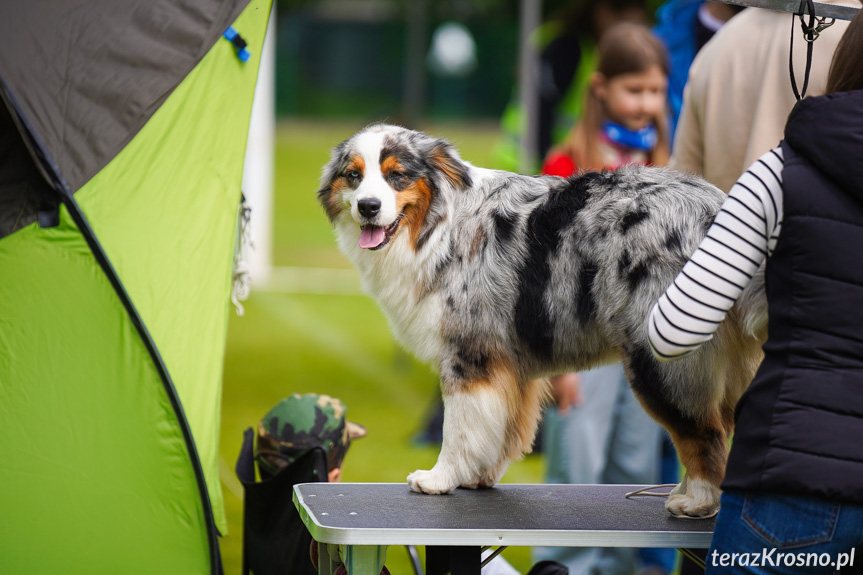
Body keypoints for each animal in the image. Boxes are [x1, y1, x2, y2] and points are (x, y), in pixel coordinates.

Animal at [320, 124, 768, 520]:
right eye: (354, 175)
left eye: (397, 175)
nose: (368, 207)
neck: (437, 227)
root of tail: (717, 210)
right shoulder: (508, 363)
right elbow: (500, 429)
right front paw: (479, 477)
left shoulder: (470, 355)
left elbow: (460, 430)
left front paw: (440, 479)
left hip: (662, 355)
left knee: (703, 432)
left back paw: (698, 501)